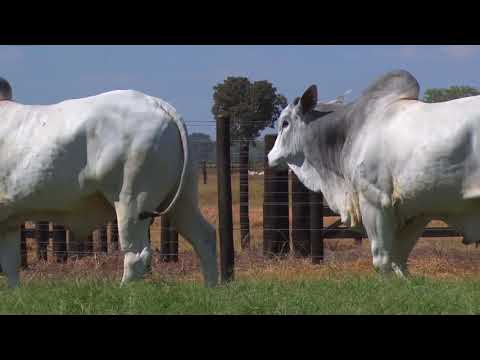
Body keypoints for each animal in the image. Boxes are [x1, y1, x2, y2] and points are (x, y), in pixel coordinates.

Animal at [0, 79, 218, 286]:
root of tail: (156, 103)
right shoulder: (9, 221)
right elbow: (10, 264)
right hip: (182, 200)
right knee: (204, 238)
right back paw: (210, 287)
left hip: (131, 200)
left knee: (137, 255)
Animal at [268, 70, 480, 278]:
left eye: (285, 123)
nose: (270, 156)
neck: (348, 132)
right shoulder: (418, 210)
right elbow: (399, 261)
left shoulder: (375, 202)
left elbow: (382, 260)